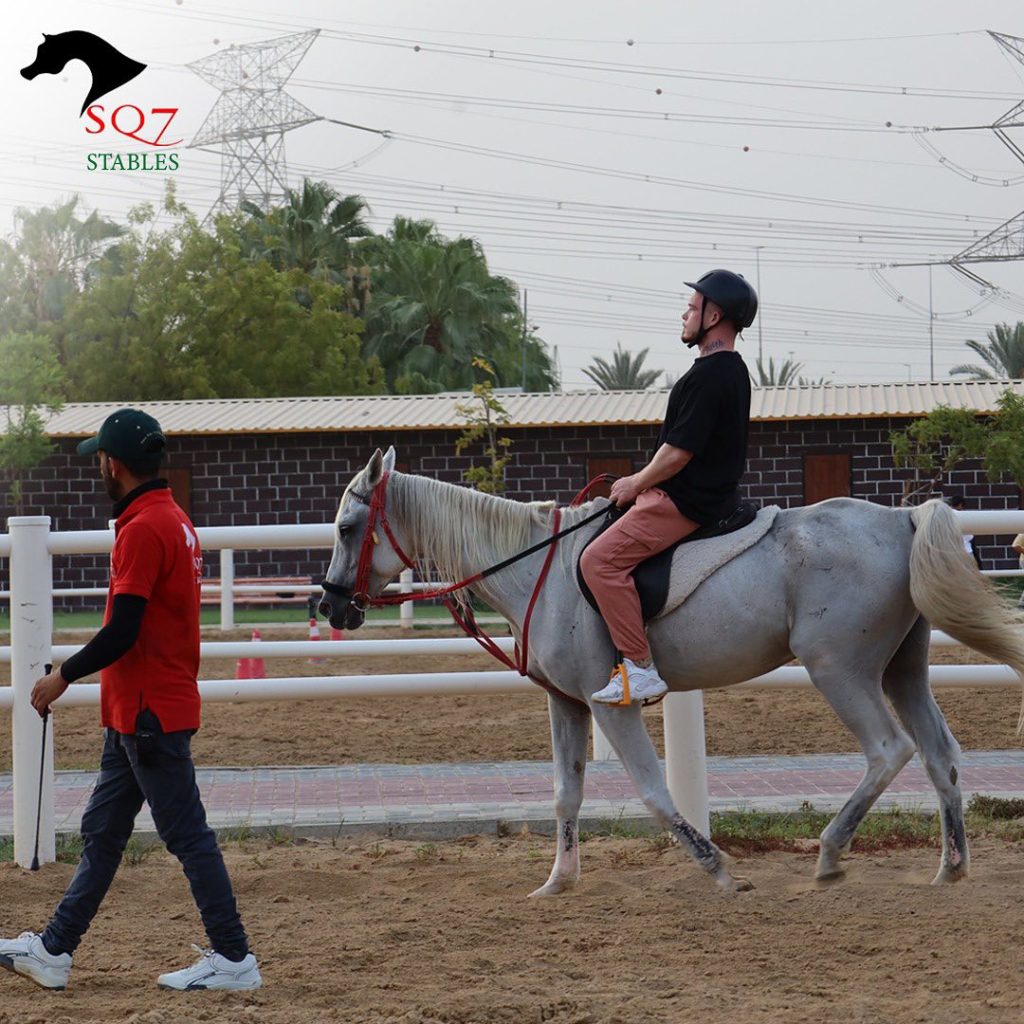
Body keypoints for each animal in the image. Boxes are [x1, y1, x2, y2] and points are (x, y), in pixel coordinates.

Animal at [317, 452, 1024, 892]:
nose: (329, 605)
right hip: (903, 668)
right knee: (939, 752)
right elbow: (565, 793)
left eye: (349, 527)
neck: (539, 568)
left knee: (888, 749)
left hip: (839, 669)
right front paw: (557, 883)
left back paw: (828, 854)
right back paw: (950, 868)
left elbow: (655, 792)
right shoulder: (566, 703)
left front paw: (718, 868)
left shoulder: (609, 704)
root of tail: (900, 517)